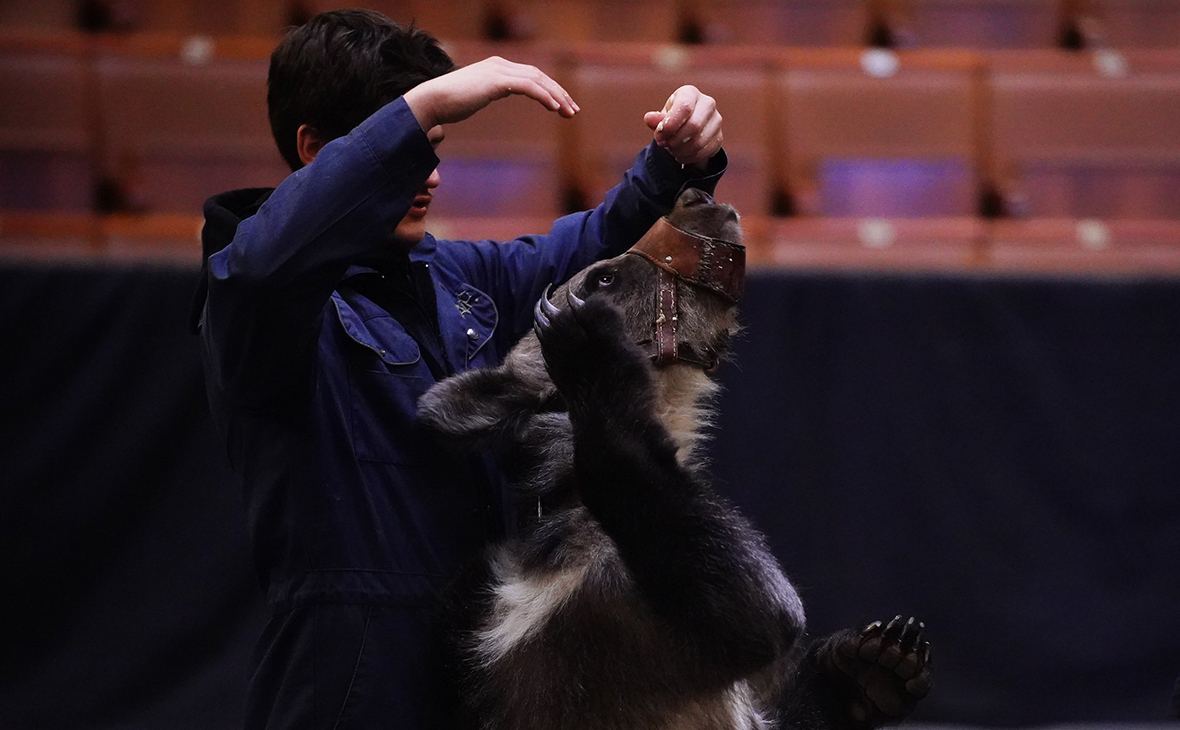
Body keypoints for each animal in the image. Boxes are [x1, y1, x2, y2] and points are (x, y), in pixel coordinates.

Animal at [417, 189, 929, 730]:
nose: (697, 197)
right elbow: (758, 607)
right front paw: (589, 348)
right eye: (603, 276)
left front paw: (871, 663)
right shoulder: (612, 610)